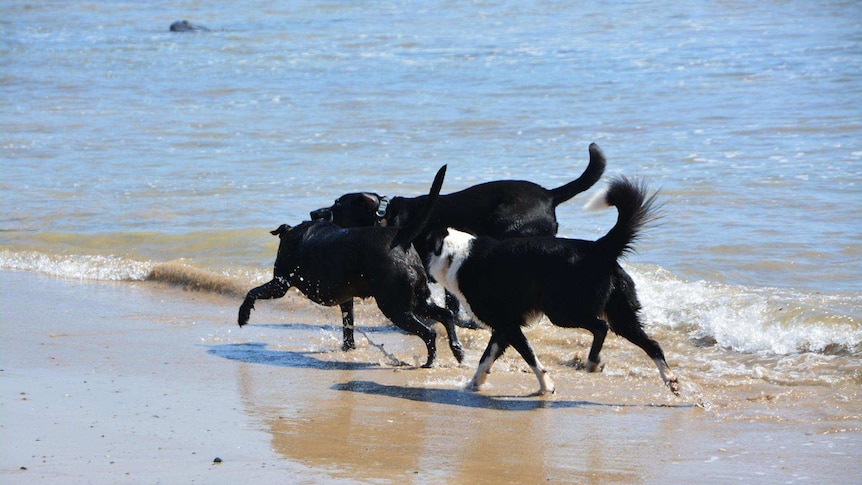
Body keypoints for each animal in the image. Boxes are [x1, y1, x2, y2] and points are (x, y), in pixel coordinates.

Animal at [236, 164, 466, 364]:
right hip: (416, 298)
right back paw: (457, 350)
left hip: (394, 304)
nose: (314, 212)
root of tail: (400, 238)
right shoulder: (346, 299)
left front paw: (243, 315)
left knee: (429, 332)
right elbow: (348, 325)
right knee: (445, 314)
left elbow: (253, 292)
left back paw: (430, 361)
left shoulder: (281, 283)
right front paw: (348, 348)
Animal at [426, 176, 680, 396]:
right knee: (651, 344)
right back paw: (669, 380)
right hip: (619, 314)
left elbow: (529, 356)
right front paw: (475, 383)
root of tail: (599, 248)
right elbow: (486, 358)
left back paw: (592, 362)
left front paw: (546, 386)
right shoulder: (504, 327)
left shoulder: (509, 325)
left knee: (601, 327)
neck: (455, 254)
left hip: (563, 311)